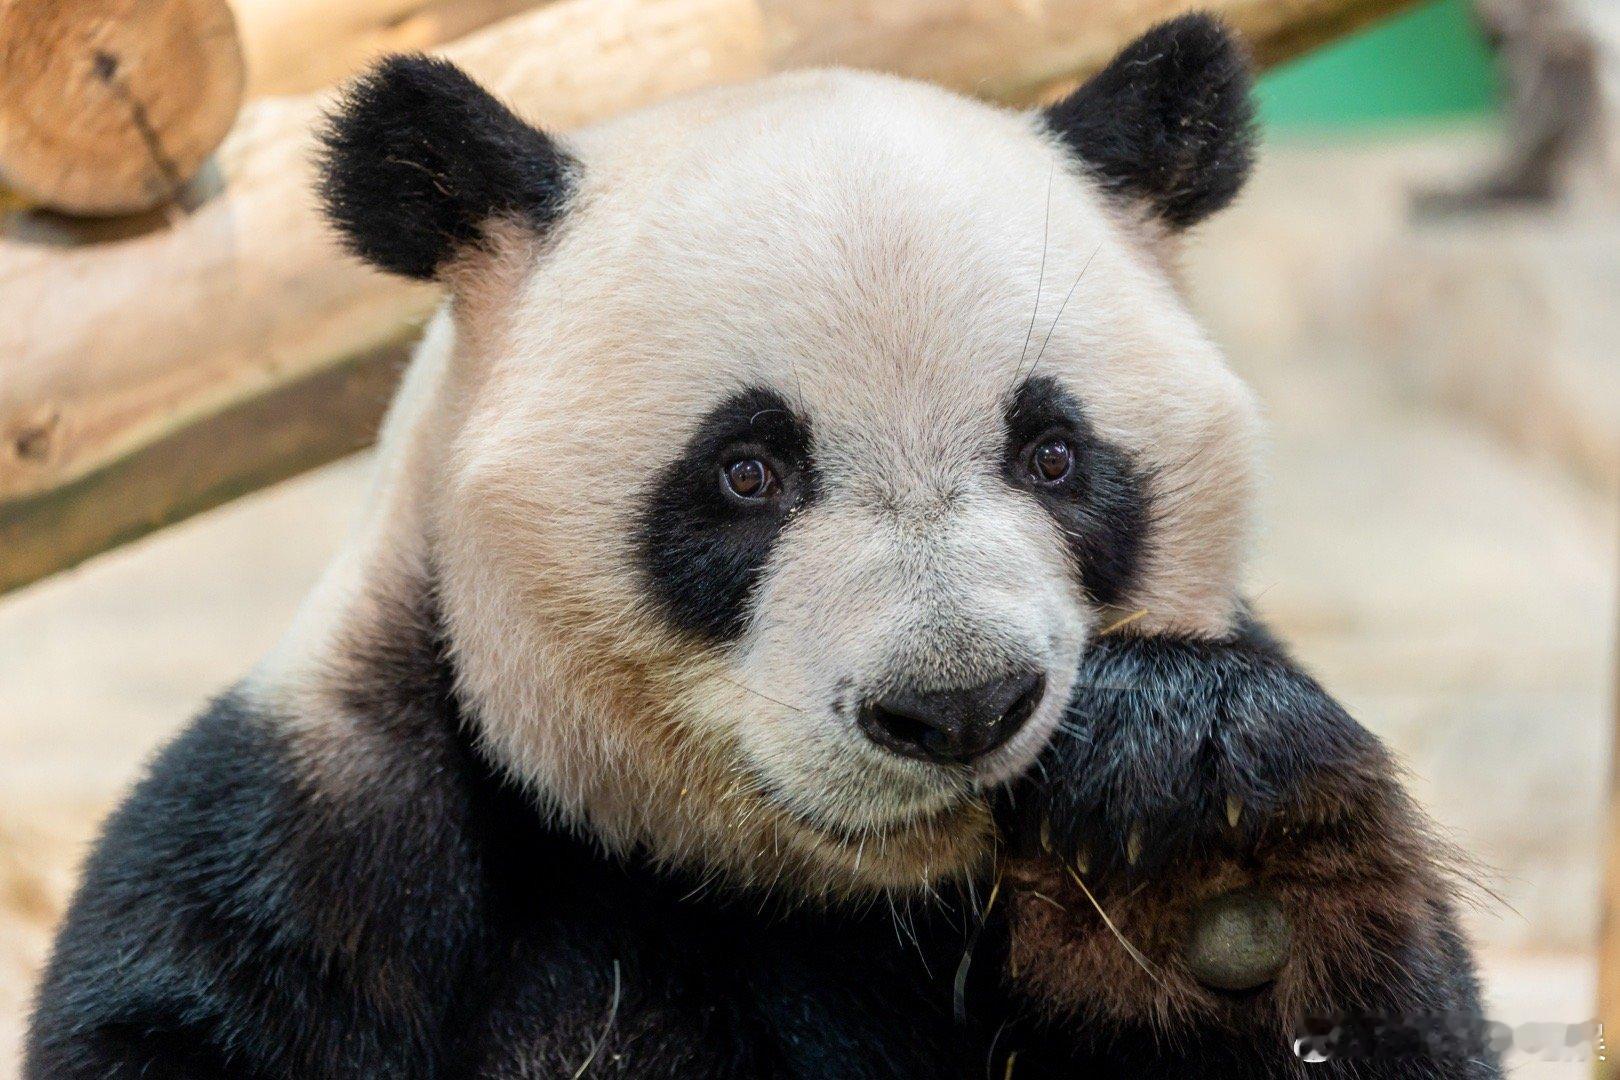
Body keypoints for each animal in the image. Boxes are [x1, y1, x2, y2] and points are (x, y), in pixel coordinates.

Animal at [25, 14, 1498, 1079]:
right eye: (747, 473)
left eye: (1053, 455)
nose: (957, 706)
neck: (825, 899)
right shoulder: (317, 838)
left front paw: (1202, 855)